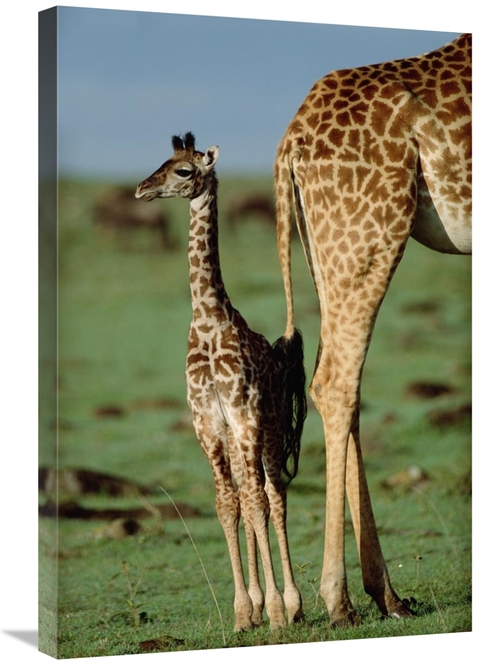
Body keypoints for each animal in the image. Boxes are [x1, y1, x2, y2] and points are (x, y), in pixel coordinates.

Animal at [135, 133, 307, 632]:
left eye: (183, 171)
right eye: (164, 161)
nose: (141, 190)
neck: (209, 321)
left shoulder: (245, 417)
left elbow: (256, 502)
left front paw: (275, 611)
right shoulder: (209, 424)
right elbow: (228, 505)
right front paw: (243, 612)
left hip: (269, 429)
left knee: (273, 494)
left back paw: (293, 604)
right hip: (237, 437)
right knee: (250, 499)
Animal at [274, 33, 471, 626]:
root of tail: (291, 139)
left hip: (327, 247)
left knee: (340, 379)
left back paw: (387, 595)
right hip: (369, 230)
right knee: (335, 381)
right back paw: (338, 600)